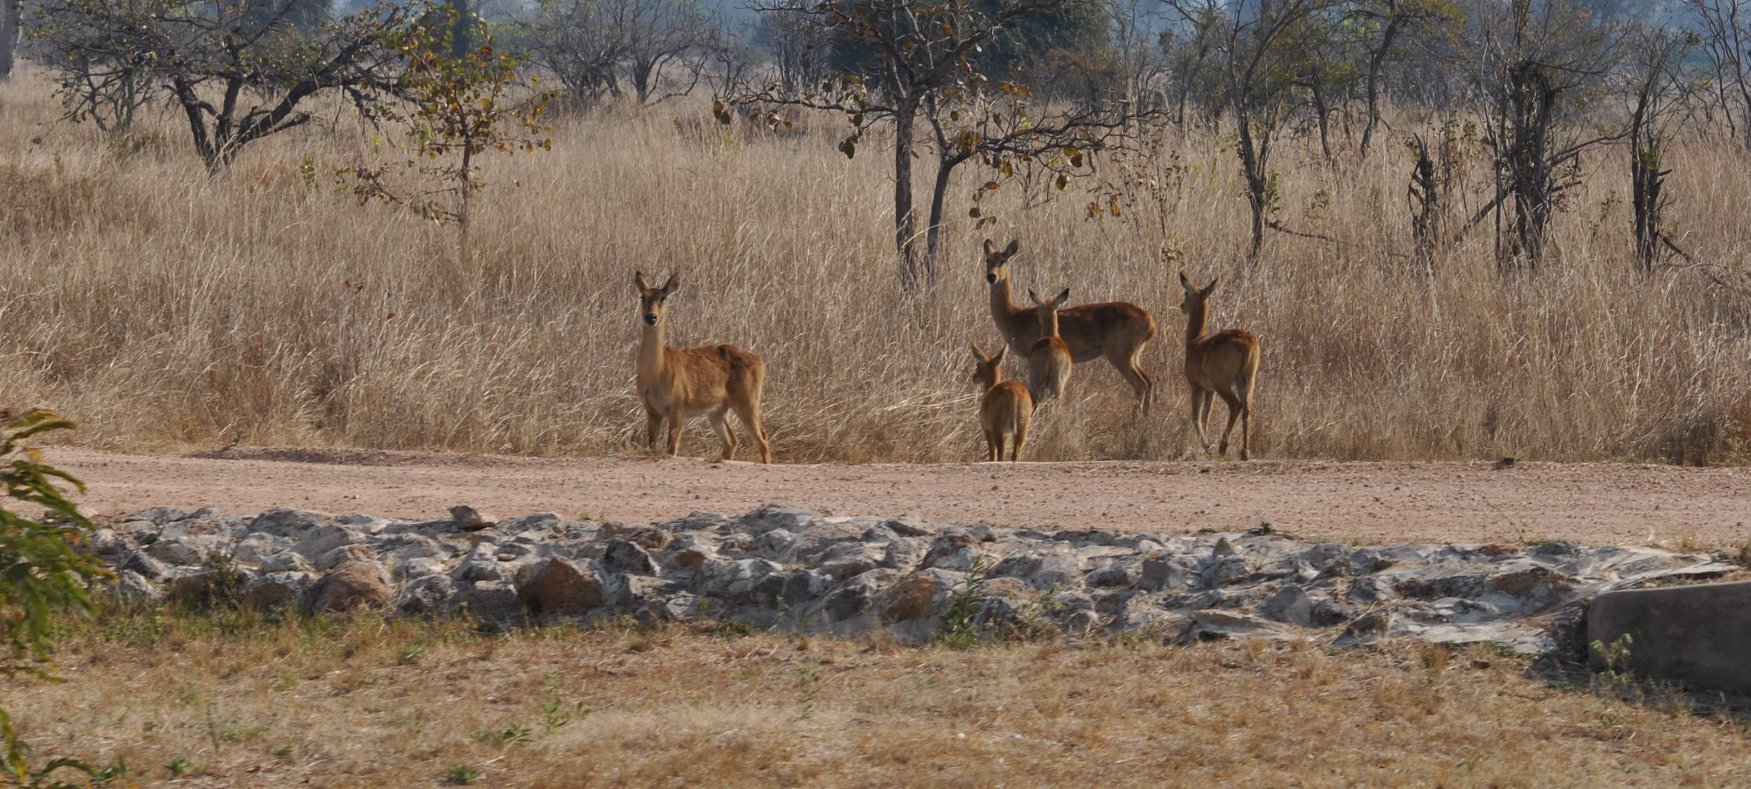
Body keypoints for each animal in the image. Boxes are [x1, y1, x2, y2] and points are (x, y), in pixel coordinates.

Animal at [630, 274, 766, 465]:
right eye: (643, 296)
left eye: (663, 298)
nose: (651, 317)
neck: (657, 373)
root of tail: (759, 360)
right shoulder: (652, 410)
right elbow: (652, 445)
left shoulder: (678, 407)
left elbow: (672, 449)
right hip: (717, 410)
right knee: (732, 441)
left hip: (748, 400)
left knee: (762, 438)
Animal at [980, 239, 1155, 414]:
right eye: (987, 260)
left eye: (1003, 260)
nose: (991, 276)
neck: (1014, 317)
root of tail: (1150, 321)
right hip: (1135, 356)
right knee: (1148, 381)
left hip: (1120, 356)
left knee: (1140, 384)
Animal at [1176, 271, 1260, 461]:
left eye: (1186, 293)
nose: (1182, 306)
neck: (1195, 342)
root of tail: (1246, 342)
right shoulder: (1210, 391)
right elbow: (1206, 416)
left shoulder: (1197, 387)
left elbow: (1196, 417)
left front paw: (1207, 447)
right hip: (1247, 380)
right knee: (1247, 409)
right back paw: (1244, 453)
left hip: (1223, 383)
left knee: (1235, 405)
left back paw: (1223, 447)